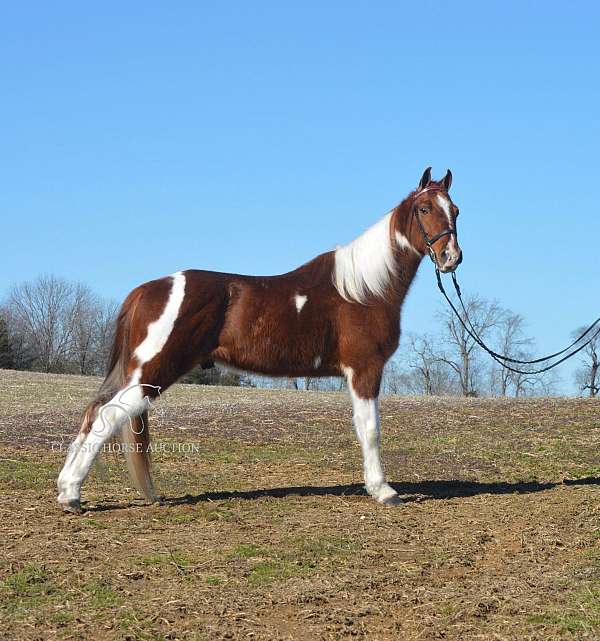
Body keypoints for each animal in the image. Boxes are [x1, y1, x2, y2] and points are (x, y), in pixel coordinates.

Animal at [56, 168, 462, 512]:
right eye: (424, 208)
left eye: (455, 210)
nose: (450, 257)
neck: (363, 290)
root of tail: (146, 289)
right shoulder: (365, 370)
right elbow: (371, 430)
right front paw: (384, 491)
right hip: (152, 373)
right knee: (107, 415)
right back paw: (72, 495)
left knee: (93, 413)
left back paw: (65, 489)